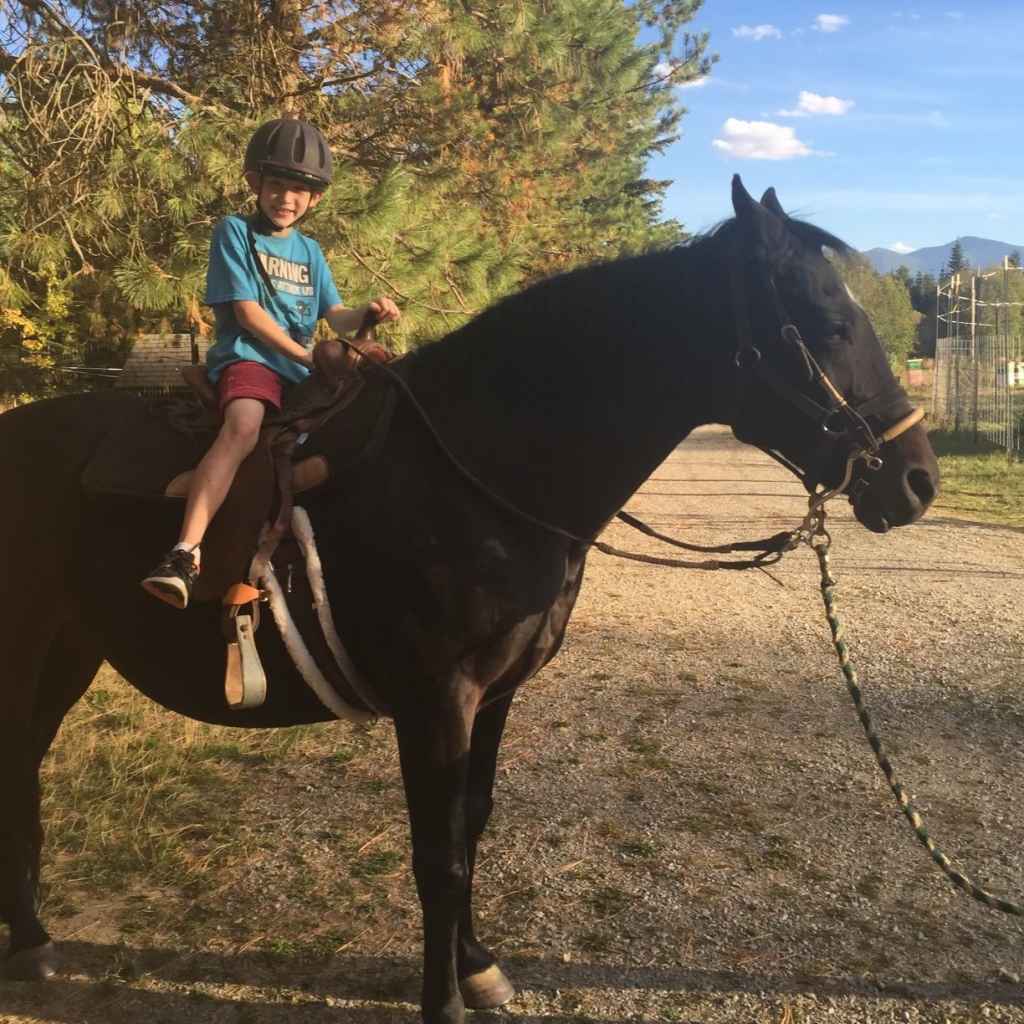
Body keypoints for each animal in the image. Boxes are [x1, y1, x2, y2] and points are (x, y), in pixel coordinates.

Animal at [0, 177, 938, 1024]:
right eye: (829, 325)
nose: (916, 481)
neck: (476, 470)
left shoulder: (495, 694)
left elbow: (472, 823)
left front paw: (477, 966)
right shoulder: (435, 700)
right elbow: (438, 855)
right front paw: (442, 1000)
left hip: (68, 651)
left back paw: (33, 941)